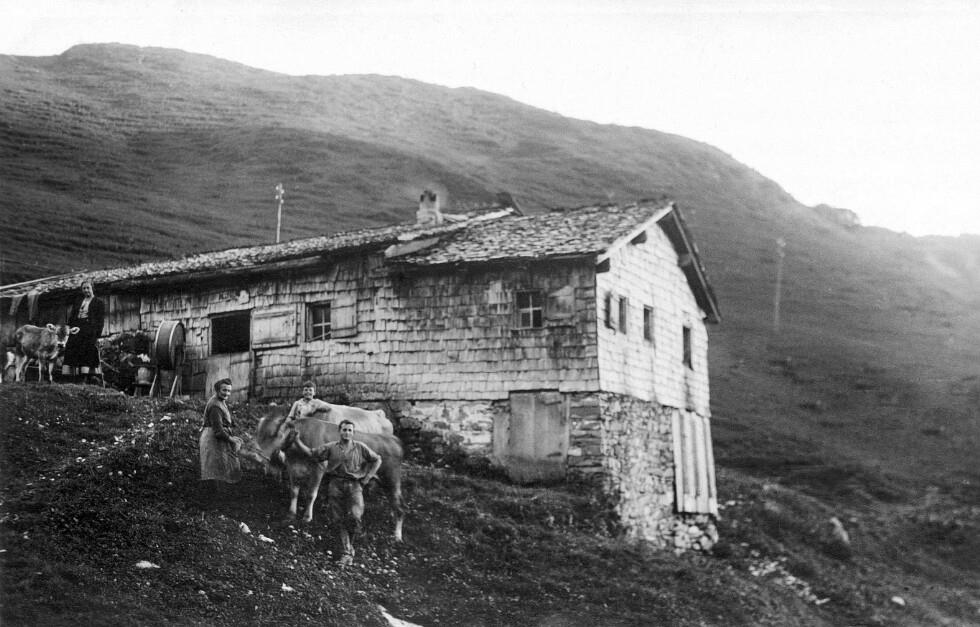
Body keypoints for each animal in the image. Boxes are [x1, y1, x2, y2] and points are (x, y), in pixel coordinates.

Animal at [246, 407, 405, 541]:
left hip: (392, 480)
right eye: (258, 431)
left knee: (400, 507)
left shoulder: (319, 468)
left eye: (274, 433)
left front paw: (307, 517)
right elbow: (294, 492)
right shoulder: (293, 467)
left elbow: (311, 494)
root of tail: (394, 440)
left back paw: (397, 536)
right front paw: (291, 513)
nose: (252, 455)